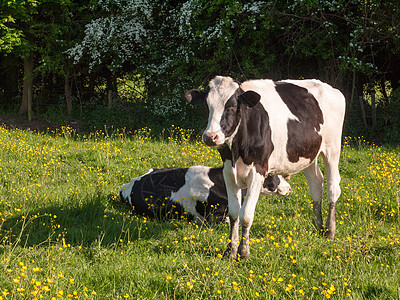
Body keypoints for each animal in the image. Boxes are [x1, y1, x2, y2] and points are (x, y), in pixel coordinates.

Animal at [184, 75, 344, 260]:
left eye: (231, 106)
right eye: (206, 105)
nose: (211, 136)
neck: (237, 150)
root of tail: (329, 87)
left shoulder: (257, 172)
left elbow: (246, 215)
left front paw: (244, 252)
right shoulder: (228, 171)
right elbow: (234, 213)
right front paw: (230, 251)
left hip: (332, 148)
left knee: (333, 187)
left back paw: (330, 231)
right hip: (308, 153)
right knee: (316, 184)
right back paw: (318, 226)